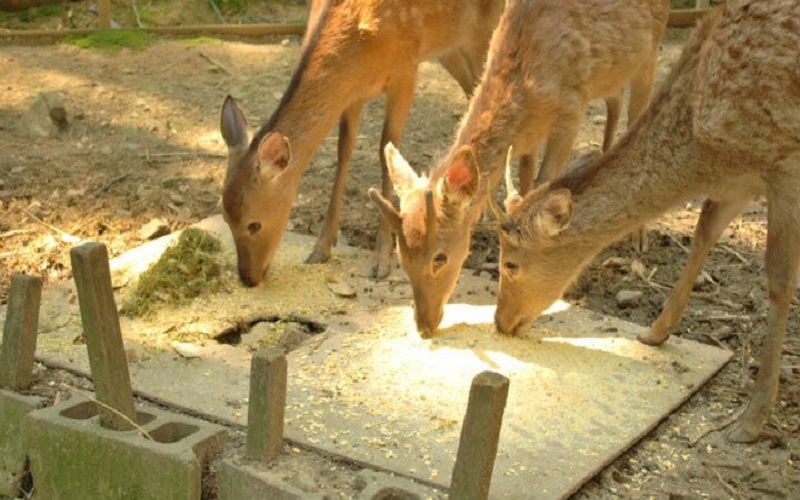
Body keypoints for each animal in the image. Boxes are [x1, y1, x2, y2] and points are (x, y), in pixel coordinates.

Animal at [219, 0, 504, 288]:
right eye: (225, 217)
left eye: (254, 224)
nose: (248, 278)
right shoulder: (352, 92)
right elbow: (344, 150)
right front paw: (321, 248)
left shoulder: (405, 71)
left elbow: (385, 150)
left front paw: (382, 261)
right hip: (450, 45)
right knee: (474, 93)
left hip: (485, 27)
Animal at [368, 1, 668, 336]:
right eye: (401, 256)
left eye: (439, 258)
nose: (424, 326)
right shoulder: (529, 137)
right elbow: (524, 178)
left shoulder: (572, 108)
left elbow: (545, 179)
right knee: (615, 99)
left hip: (651, 51)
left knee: (638, 112)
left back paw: (639, 238)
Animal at [494, 0, 800, 446]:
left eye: (510, 263)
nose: (501, 322)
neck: (703, 152)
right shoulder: (739, 181)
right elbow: (704, 230)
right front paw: (655, 332)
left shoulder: (784, 165)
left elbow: (779, 280)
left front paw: (751, 420)